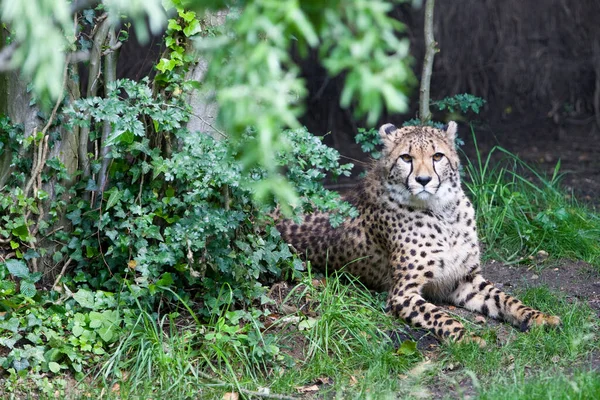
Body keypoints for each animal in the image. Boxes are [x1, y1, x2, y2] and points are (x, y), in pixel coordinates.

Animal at [278, 122, 560, 344]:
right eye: (406, 158)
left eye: (437, 156)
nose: (423, 180)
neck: (444, 213)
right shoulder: (402, 294)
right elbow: (441, 316)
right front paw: (467, 337)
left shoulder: (464, 279)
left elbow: (506, 299)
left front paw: (538, 316)